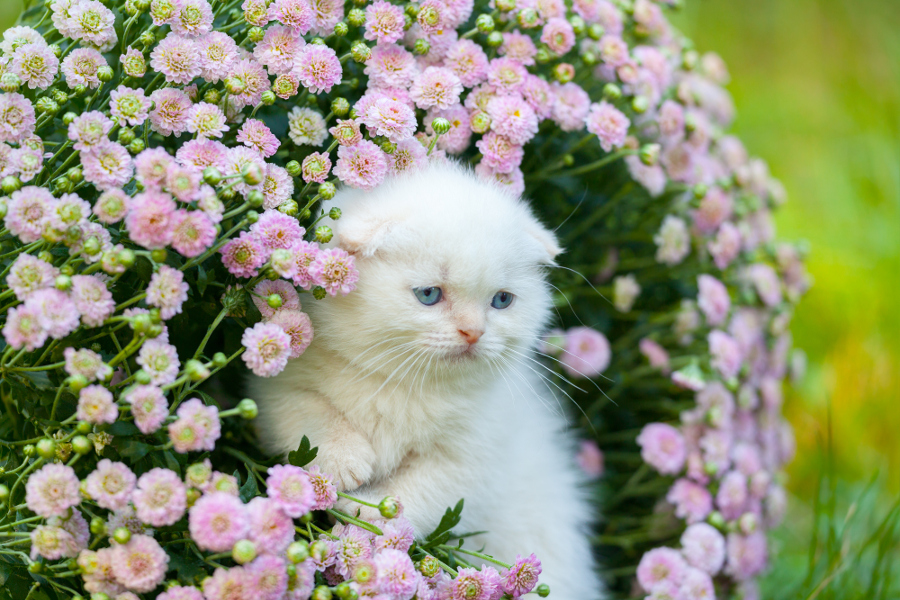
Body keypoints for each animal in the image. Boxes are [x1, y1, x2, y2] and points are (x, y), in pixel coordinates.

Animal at [251, 161, 604, 600]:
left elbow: (424, 492)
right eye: (429, 294)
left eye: (502, 300)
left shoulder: (475, 458)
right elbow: (305, 409)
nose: (473, 332)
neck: (404, 381)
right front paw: (341, 458)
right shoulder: (278, 382)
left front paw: (370, 511)